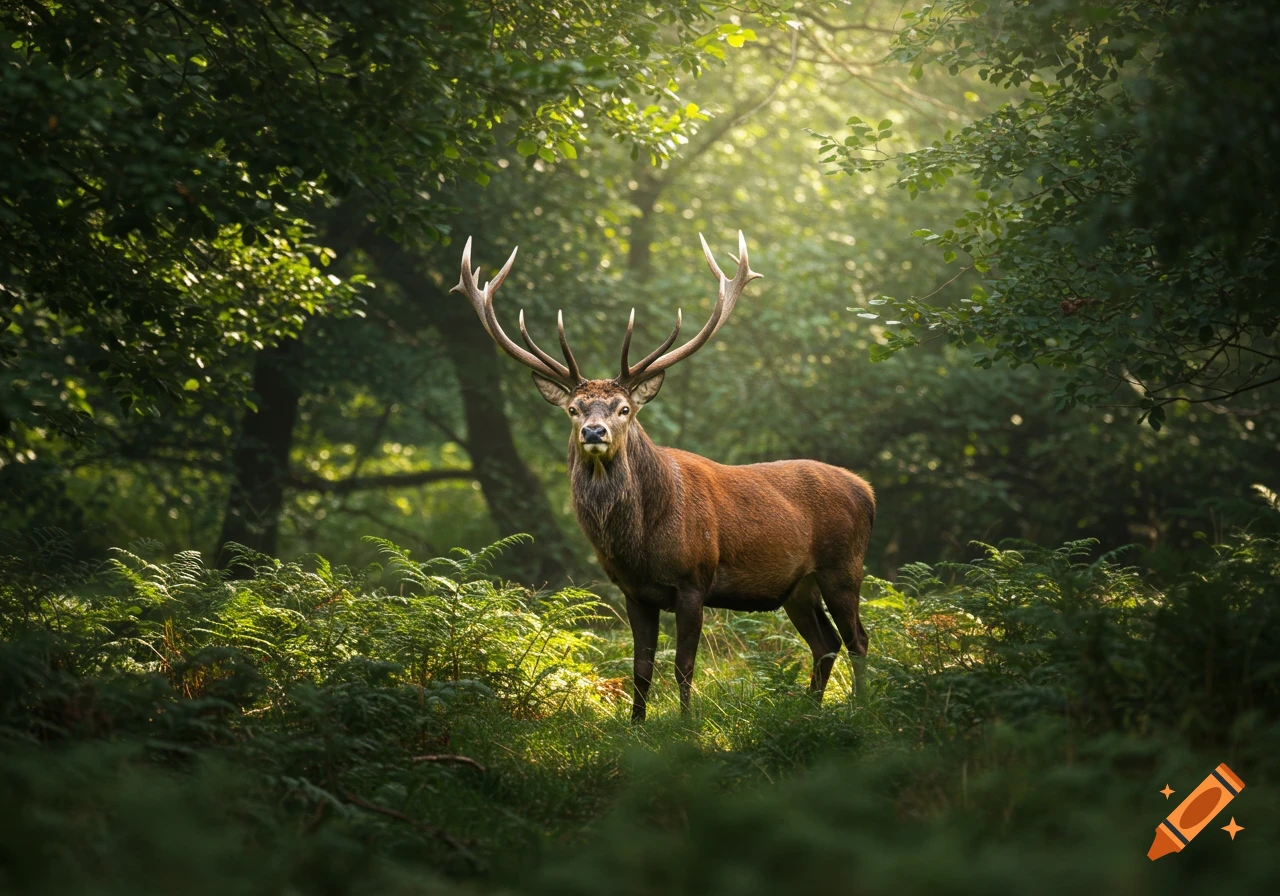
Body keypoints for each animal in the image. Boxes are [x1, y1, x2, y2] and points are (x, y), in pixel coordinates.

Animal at [451, 231, 875, 721]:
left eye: (624, 409)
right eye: (573, 409)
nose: (593, 432)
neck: (641, 543)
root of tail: (867, 491)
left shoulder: (694, 580)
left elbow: (684, 666)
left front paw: (688, 725)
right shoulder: (633, 592)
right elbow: (641, 668)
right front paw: (636, 725)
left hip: (843, 566)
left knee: (857, 638)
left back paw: (862, 707)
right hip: (797, 586)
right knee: (825, 643)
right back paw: (809, 710)